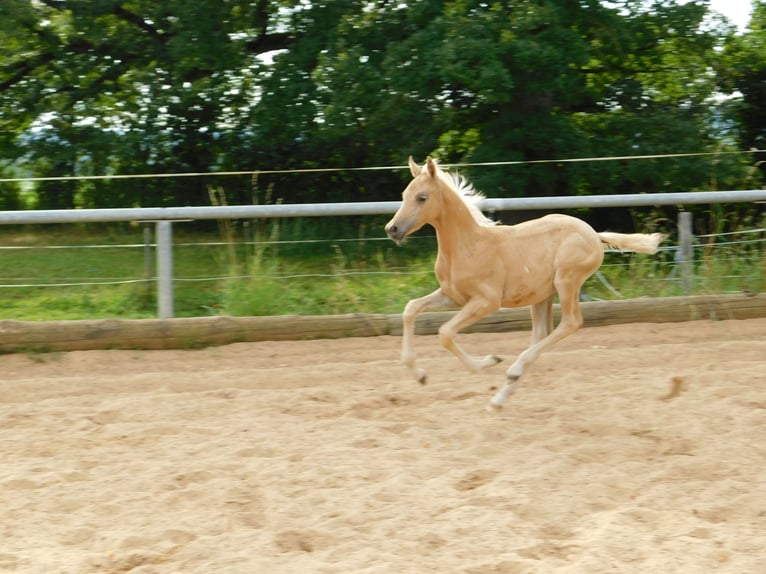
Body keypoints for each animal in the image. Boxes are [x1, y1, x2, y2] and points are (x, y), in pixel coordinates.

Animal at [388, 155, 664, 412]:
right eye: (404, 195)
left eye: (422, 197)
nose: (392, 229)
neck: (467, 246)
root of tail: (595, 235)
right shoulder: (452, 295)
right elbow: (411, 309)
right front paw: (420, 375)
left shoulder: (487, 301)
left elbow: (445, 332)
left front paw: (488, 362)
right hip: (542, 295)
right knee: (543, 332)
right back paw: (501, 397)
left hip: (567, 281)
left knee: (570, 322)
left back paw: (511, 373)